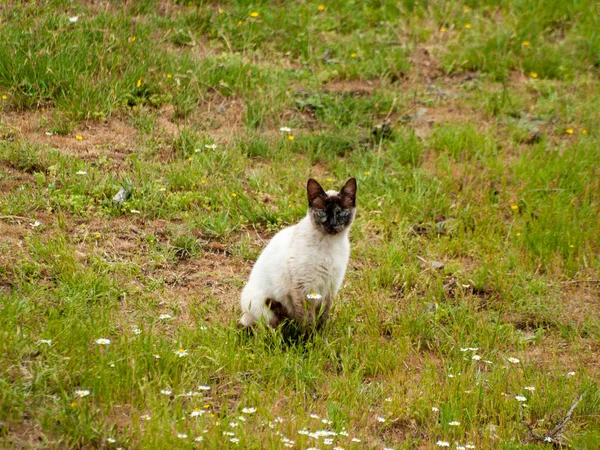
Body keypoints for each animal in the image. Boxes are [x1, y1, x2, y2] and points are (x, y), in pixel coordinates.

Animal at [237, 178, 354, 328]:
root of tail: (245, 316)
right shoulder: (303, 289)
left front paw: (322, 333)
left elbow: (323, 318)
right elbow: (308, 321)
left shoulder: (331, 288)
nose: (332, 225)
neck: (330, 243)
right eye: (322, 213)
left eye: (341, 213)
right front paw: (311, 335)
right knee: (269, 327)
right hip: (264, 308)